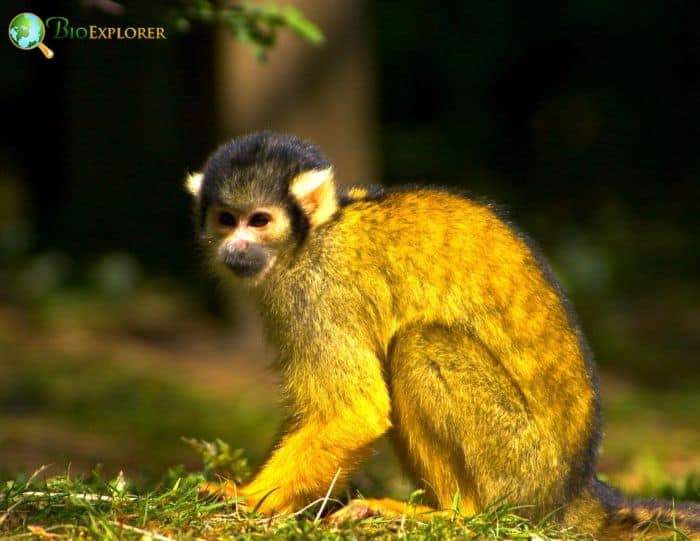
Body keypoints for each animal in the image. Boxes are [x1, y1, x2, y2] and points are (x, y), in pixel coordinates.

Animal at [186, 131, 700, 539]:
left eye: (260, 221)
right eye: (226, 219)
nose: (236, 247)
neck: (313, 237)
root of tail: (574, 491)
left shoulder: (315, 295)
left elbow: (354, 411)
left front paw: (245, 498)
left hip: (518, 465)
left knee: (421, 346)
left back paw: (456, 515)